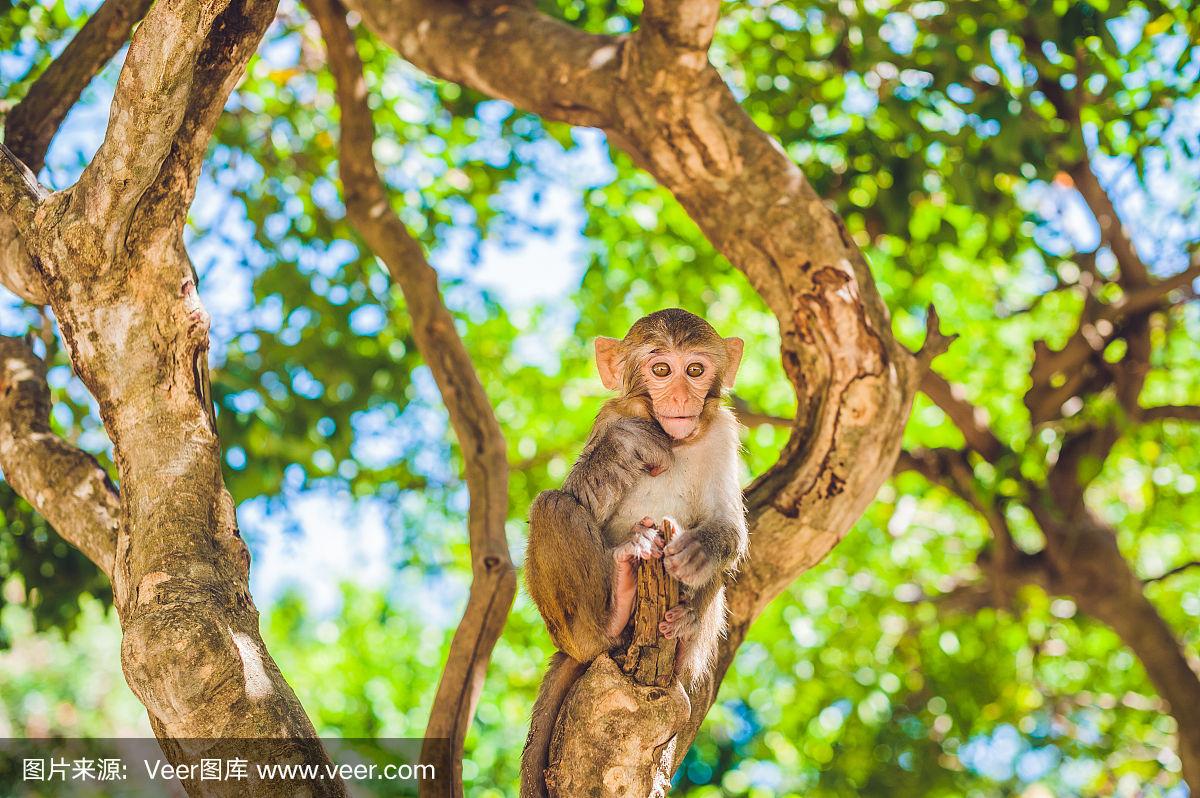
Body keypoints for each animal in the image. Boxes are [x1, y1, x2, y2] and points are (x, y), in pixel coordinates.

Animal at [520, 307, 744, 792]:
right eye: (661, 370)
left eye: (694, 370)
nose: (679, 395)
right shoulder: (611, 414)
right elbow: (581, 493)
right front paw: (626, 444)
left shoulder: (723, 431)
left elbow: (731, 532)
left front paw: (698, 552)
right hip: (572, 632)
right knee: (550, 505)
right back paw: (612, 612)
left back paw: (684, 625)